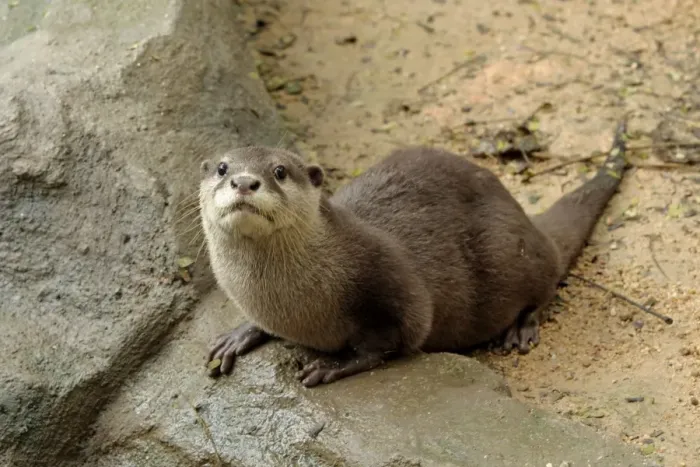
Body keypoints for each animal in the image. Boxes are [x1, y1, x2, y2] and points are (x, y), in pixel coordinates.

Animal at [199, 120, 629, 387]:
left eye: (280, 171)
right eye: (222, 168)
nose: (244, 181)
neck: (290, 303)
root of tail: (526, 220)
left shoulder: (390, 281)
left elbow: (390, 339)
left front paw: (333, 364)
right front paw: (241, 334)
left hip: (514, 253)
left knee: (545, 282)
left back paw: (521, 327)